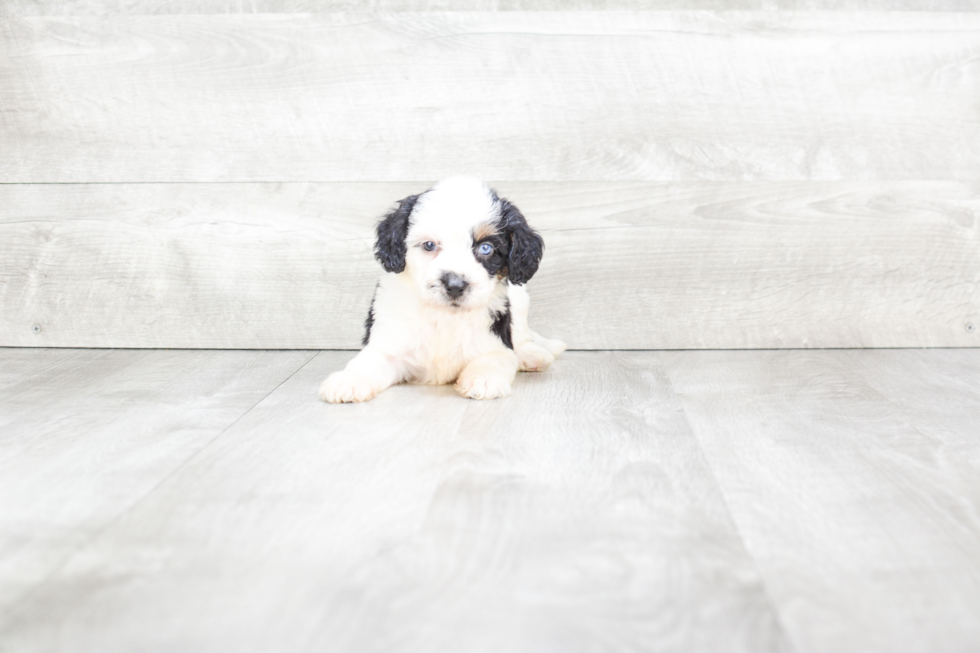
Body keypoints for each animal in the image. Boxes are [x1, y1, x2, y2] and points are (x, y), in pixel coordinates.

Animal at [322, 178, 568, 402]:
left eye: (486, 248)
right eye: (429, 245)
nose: (455, 285)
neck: (445, 316)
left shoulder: (494, 342)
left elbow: (494, 358)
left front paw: (484, 380)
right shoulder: (389, 342)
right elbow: (369, 361)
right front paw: (348, 381)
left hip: (519, 298)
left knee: (522, 335)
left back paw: (531, 355)